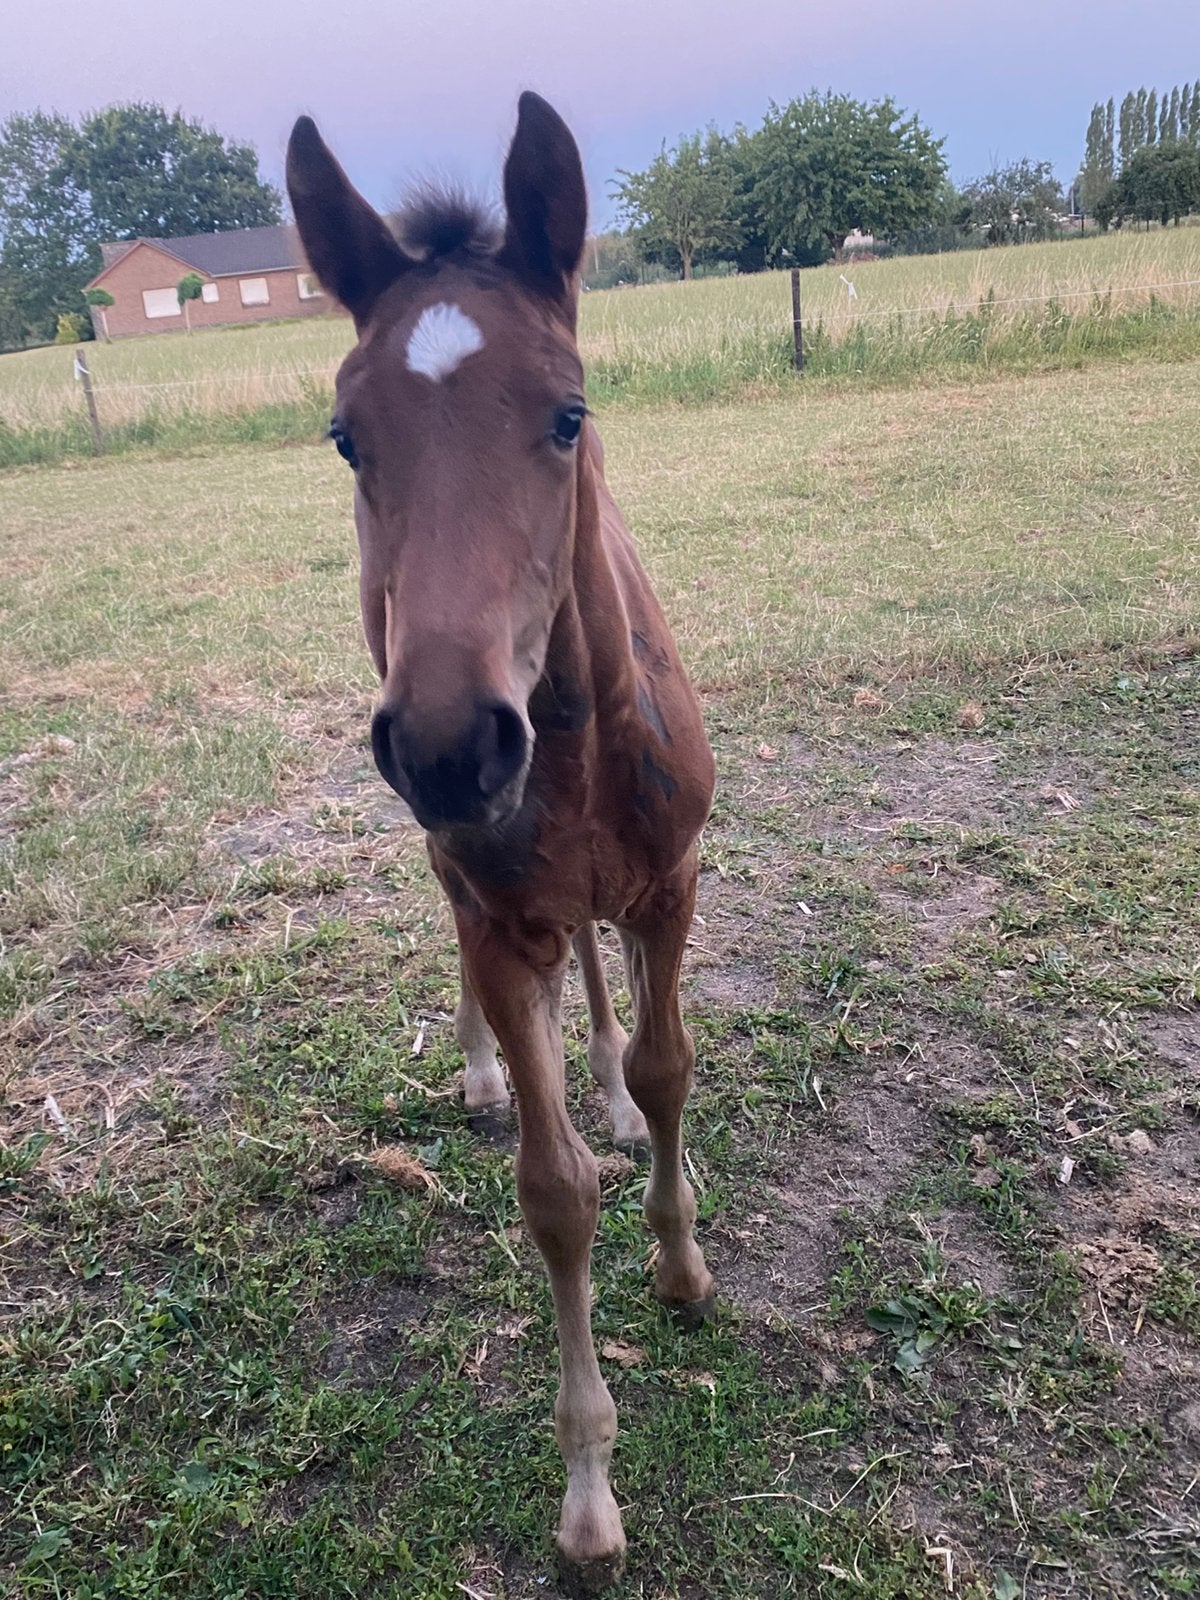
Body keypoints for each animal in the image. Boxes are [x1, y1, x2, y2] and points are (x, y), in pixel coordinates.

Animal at [287, 91, 717, 1594]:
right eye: (347, 438)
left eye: (568, 415)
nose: (450, 742)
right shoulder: (496, 909)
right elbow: (553, 1193)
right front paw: (590, 1495)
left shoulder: (671, 887)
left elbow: (665, 1071)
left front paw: (683, 1267)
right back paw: (483, 1066)